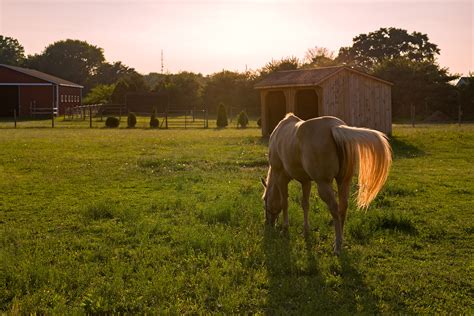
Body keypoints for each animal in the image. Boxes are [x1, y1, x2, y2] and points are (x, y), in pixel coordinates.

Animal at [262, 113, 390, 254]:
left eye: (265, 201)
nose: (268, 224)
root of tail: (335, 127)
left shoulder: (281, 177)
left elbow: (285, 202)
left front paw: (285, 229)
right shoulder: (305, 181)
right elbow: (305, 204)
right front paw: (306, 231)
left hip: (323, 184)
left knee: (334, 208)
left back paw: (337, 246)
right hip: (343, 181)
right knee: (343, 207)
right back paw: (340, 240)